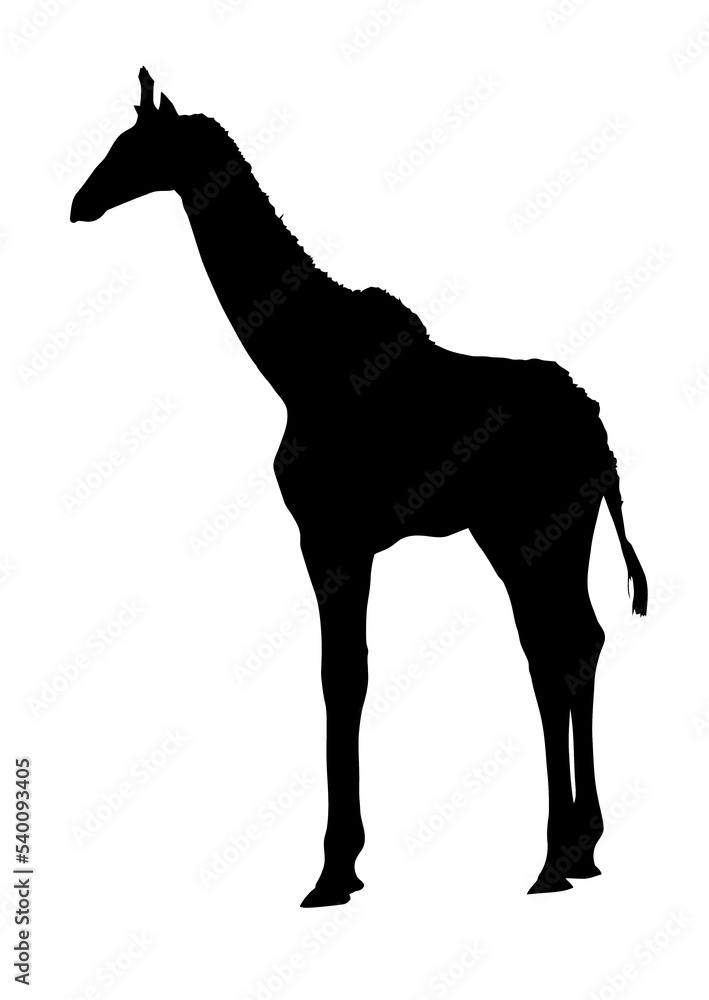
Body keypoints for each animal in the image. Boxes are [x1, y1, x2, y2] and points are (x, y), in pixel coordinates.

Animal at [70, 69, 648, 906]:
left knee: (558, 648)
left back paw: (554, 857)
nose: (79, 201)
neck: (296, 366)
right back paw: (578, 850)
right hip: (530, 533)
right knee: (571, 643)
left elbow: (339, 677)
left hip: (532, 528)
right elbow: (347, 674)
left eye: (132, 146)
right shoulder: (346, 540)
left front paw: (332, 871)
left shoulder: (330, 534)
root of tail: (599, 434)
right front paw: (342, 864)